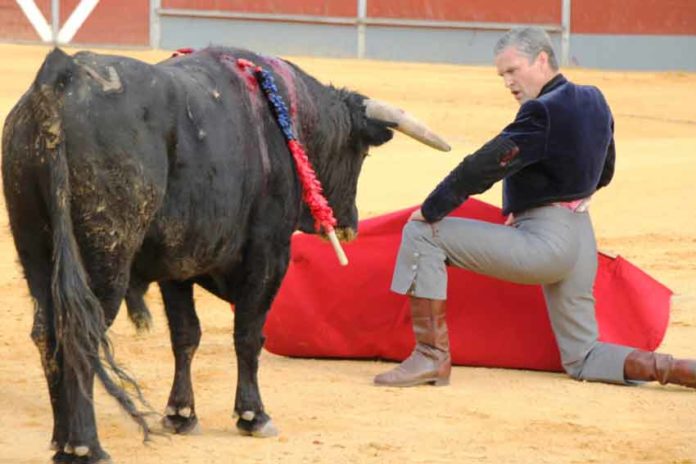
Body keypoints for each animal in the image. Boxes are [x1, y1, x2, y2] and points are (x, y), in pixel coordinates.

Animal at [1, 46, 446, 460]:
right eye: (360, 153)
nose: (348, 223)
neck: (288, 119)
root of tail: (61, 79)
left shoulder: (177, 264)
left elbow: (185, 334)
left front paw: (181, 414)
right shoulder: (269, 254)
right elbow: (248, 334)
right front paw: (253, 416)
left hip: (36, 249)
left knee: (47, 331)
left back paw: (60, 439)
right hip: (104, 258)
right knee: (82, 331)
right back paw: (85, 445)